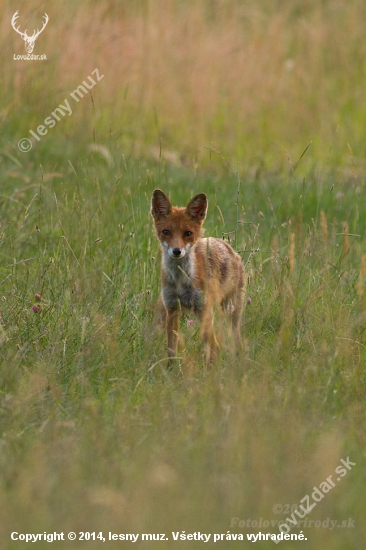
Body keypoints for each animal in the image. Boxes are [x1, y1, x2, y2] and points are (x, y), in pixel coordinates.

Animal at [152, 189, 246, 366]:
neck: (180, 281)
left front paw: (211, 371)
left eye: (188, 233)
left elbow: (213, 347)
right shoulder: (172, 308)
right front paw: (171, 370)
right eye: (166, 232)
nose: (176, 251)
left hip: (230, 310)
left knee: (234, 340)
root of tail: (226, 245)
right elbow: (171, 349)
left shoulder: (203, 308)